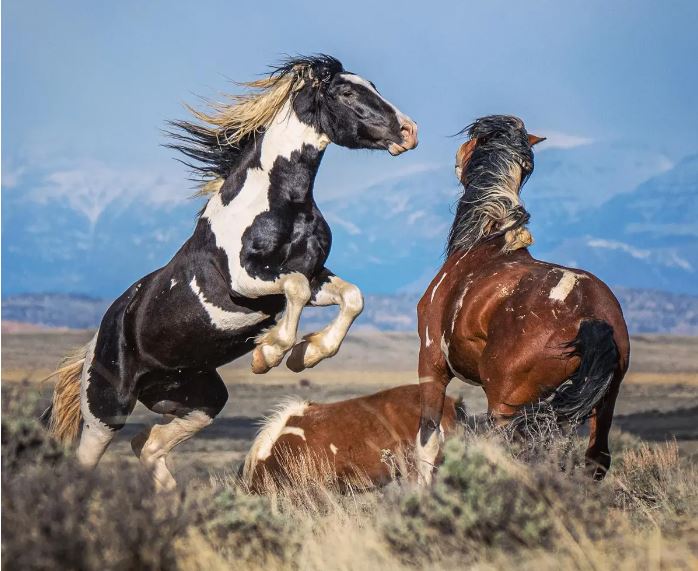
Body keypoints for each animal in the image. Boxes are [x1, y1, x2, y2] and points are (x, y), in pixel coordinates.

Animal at [46, 54, 416, 492]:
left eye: (373, 85)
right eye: (345, 91)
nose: (409, 132)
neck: (278, 202)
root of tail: (97, 340)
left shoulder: (314, 275)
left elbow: (351, 297)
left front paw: (306, 355)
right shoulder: (245, 280)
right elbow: (294, 291)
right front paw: (269, 353)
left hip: (200, 398)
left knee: (147, 443)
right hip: (107, 410)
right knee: (89, 459)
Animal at [414, 116, 632, 488]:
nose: (456, 161)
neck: (487, 241)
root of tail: (590, 315)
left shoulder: (431, 365)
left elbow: (427, 442)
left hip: (506, 407)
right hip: (603, 403)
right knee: (595, 460)